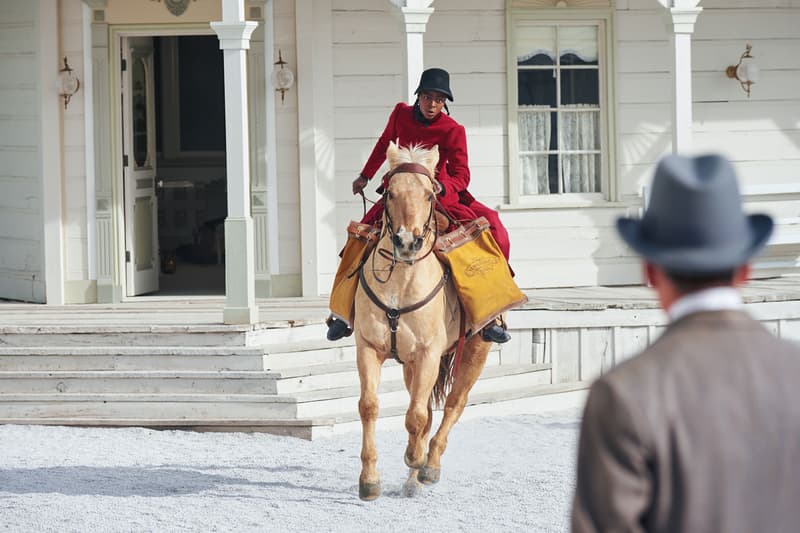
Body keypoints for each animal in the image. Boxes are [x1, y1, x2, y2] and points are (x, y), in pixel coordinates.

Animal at [354, 141, 490, 498]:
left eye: (430, 194)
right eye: (389, 193)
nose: (406, 241)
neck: (400, 283)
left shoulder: (429, 353)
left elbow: (416, 416)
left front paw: (416, 458)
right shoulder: (369, 347)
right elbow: (370, 406)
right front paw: (369, 479)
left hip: (474, 351)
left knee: (454, 404)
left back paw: (429, 466)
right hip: (411, 365)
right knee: (429, 410)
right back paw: (412, 481)